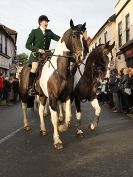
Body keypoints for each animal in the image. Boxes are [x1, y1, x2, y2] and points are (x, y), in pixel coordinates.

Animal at [19, 19, 86, 149]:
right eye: (74, 36)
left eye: (83, 37)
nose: (81, 56)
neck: (60, 69)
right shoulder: (54, 97)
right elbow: (54, 119)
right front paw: (57, 140)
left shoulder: (66, 96)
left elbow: (68, 115)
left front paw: (62, 127)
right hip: (24, 93)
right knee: (24, 107)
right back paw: (26, 125)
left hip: (42, 95)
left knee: (40, 110)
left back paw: (43, 129)